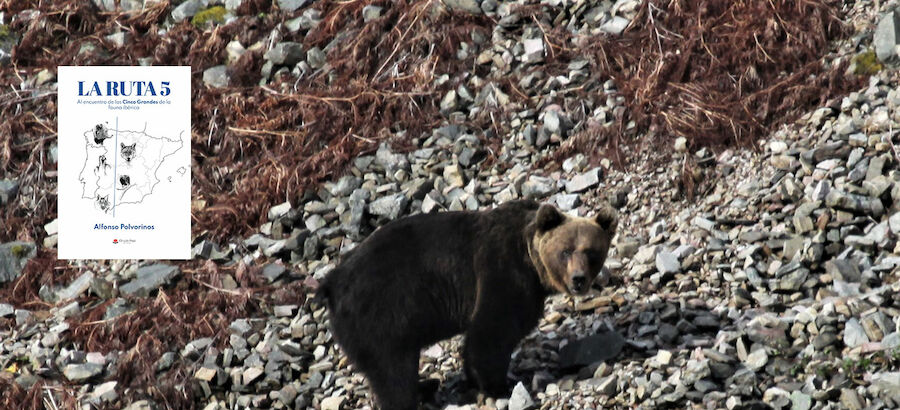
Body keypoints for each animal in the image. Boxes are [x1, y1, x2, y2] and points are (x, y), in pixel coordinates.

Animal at [316, 199, 620, 410]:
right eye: (565, 251)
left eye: (591, 252)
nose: (578, 280)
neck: (532, 263)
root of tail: (331, 282)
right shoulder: (502, 271)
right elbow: (491, 331)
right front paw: (500, 384)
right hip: (381, 314)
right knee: (393, 370)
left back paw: (427, 384)